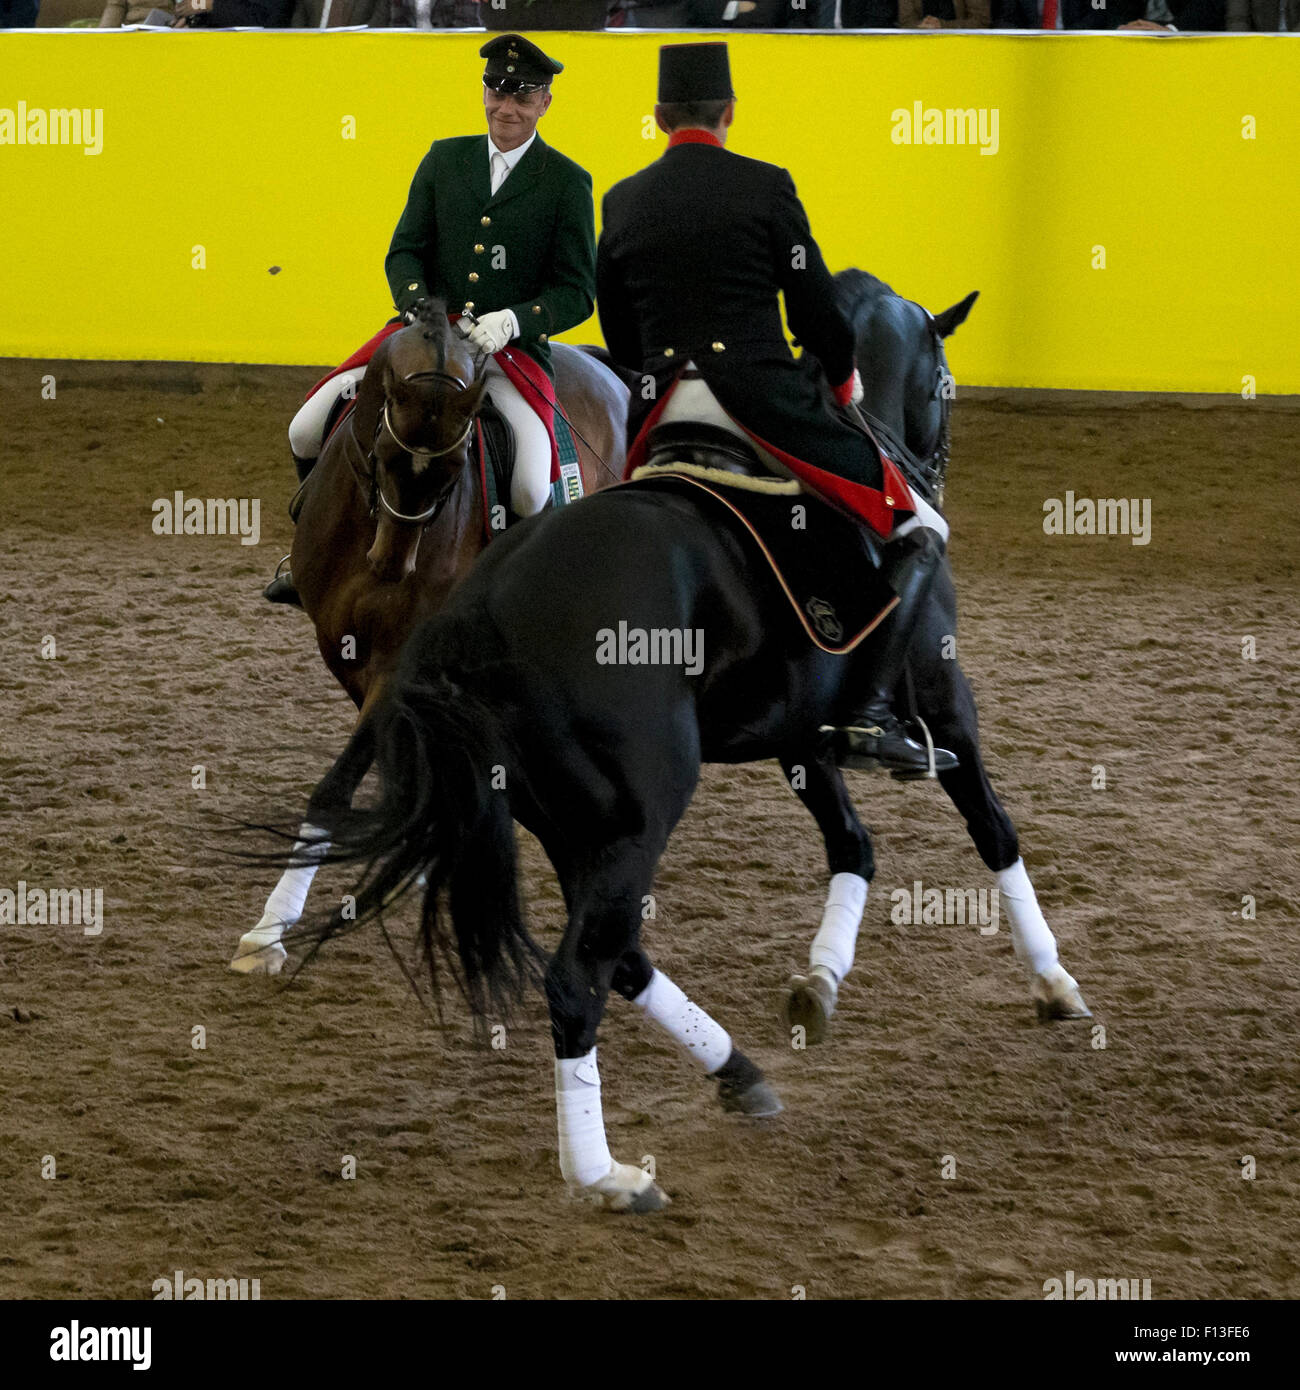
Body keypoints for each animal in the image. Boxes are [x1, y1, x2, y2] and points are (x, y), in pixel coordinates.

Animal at [233, 301, 631, 978]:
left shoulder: (402, 657)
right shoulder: (339, 641)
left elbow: (339, 784)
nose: (391, 567)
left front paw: (268, 932)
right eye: (384, 452)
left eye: (451, 474)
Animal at [279, 273, 1095, 1217]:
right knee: (580, 975)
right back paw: (605, 1172)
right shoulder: (941, 695)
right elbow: (993, 830)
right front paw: (1054, 979)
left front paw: (819, 982)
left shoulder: (800, 730)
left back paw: (736, 1072)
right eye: (946, 385)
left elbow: (853, 844)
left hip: (569, 817)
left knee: (622, 958)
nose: (930, 472)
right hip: (636, 814)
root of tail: (486, 609)